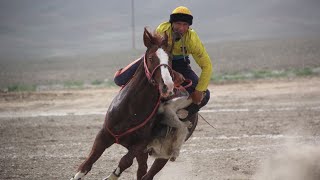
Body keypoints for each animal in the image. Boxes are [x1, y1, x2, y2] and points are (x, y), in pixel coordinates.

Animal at [70, 27, 198, 180]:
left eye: (170, 58)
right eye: (151, 58)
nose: (168, 85)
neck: (131, 109)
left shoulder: (140, 145)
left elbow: (125, 161)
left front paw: (111, 176)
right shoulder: (103, 135)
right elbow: (88, 162)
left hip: (163, 153)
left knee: (148, 173)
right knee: (142, 169)